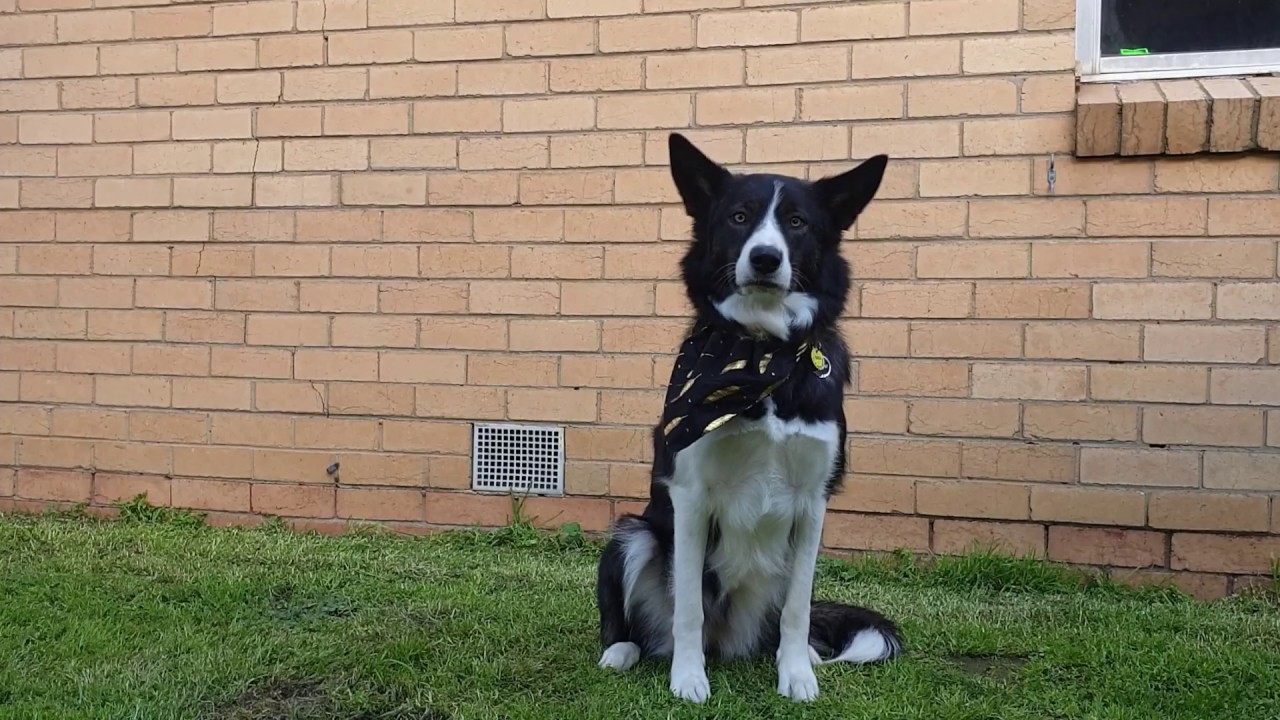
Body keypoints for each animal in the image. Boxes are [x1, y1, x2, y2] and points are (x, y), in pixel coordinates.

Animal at [591, 134, 901, 702]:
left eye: (797, 222)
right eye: (738, 217)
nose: (765, 257)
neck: (762, 353)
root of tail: (729, 641)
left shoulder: (812, 501)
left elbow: (798, 610)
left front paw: (796, 677)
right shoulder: (690, 494)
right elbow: (689, 607)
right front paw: (688, 680)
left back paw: (803, 656)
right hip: (634, 534)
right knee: (642, 624)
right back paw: (623, 652)